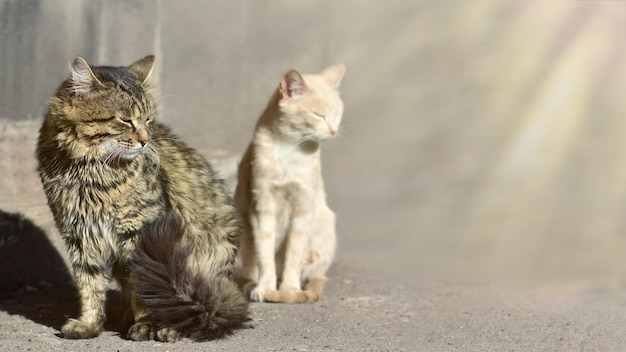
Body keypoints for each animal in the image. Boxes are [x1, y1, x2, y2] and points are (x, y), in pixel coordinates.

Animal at [36, 55, 246, 340]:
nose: (145, 141)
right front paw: (89, 324)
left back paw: (170, 326)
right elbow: (89, 283)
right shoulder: (79, 234)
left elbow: (142, 286)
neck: (90, 171)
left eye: (148, 120)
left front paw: (148, 324)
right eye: (126, 120)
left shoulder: (141, 231)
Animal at [233, 64, 344, 304]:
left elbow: (294, 254)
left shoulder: (303, 207)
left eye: (337, 115)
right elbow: (264, 252)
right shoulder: (262, 205)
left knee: (312, 271)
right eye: (319, 115)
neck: (290, 152)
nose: (334, 131)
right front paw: (264, 288)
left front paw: (290, 289)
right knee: (249, 270)